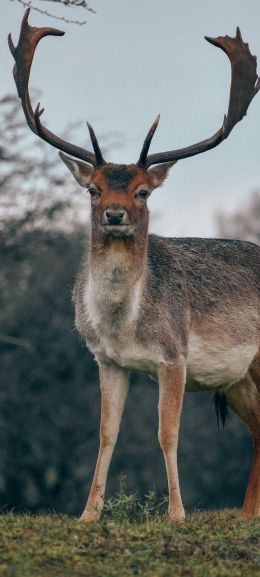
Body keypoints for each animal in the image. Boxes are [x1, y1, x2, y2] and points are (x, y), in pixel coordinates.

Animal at [8, 10, 260, 520]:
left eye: (143, 191)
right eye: (93, 189)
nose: (114, 214)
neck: (126, 324)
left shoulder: (175, 354)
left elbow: (167, 434)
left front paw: (177, 514)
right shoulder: (106, 360)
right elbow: (106, 434)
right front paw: (88, 514)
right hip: (239, 378)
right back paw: (247, 514)